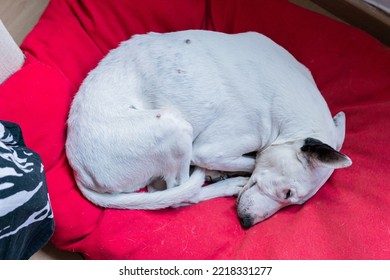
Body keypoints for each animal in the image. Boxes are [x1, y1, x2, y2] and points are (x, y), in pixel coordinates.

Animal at [65, 30, 352, 228]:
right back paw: (225, 183)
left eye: (295, 202)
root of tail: (81, 172)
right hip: (176, 127)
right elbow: (252, 160)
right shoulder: (210, 150)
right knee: (179, 195)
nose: (246, 223)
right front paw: (231, 171)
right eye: (288, 193)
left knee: (163, 191)